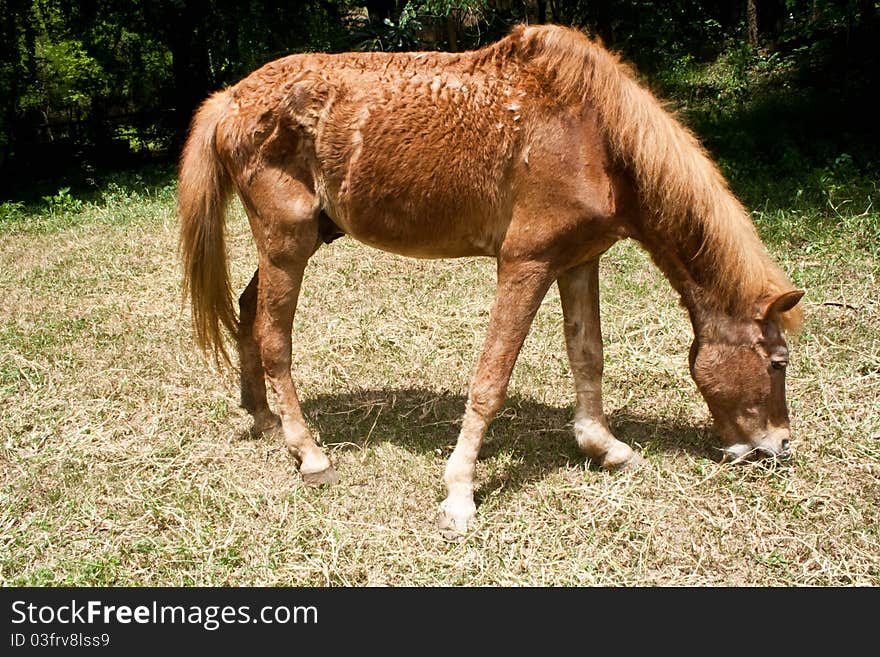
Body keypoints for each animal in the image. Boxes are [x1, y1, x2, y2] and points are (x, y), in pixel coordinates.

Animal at [179, 26, 804, 540]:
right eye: (777, 362)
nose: (777, 446)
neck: (592, 134)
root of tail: (232, 99)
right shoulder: (525, 264)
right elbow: (491, 380)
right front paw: (459, 496)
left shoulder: (578, 261)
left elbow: (587, 355)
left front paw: (604, 446)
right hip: (286, 244)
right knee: (274, 340)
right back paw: (309, 455)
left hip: (296, 243)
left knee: (248, 312)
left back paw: (262, 419)